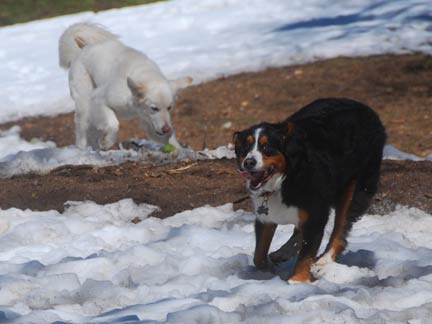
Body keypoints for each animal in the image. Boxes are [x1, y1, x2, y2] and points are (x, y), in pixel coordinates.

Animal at [58, 22, 191, 149]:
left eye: (169, 107)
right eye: (154, 108)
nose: (166, 128)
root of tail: (81, 50)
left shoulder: (148, 121)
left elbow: (169, 139)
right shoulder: (100, 98)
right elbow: (114, 124)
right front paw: (106, 142)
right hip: (84, 103)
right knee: (82, 128)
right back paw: (82, 148)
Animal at [235, 97, 386, 282]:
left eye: (266, 147)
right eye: (245, 148)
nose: (249, 162)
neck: (286, 177)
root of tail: (367, 109)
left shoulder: (316, 212)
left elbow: (306, 253)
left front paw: (297, 281)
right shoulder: (266, 217)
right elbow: (258, 256)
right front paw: (270, 269)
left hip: (355, 187)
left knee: (340, 230)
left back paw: (323, 262)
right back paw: (283, 252)